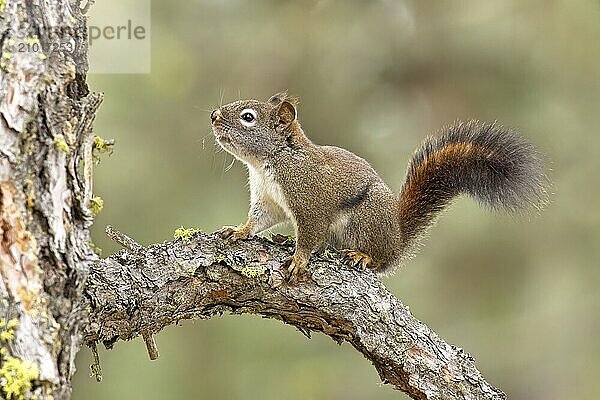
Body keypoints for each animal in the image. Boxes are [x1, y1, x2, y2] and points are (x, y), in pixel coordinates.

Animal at [212, 92, 548, 282]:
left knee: (375, 260)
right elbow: (260, 219)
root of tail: (396, 243)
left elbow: (309, 233)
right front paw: (239, 230)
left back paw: (363, 257)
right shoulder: (268, 198)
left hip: (367, 219)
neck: (270, 162)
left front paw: (298, 260)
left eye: (248, 118)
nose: (214, 115)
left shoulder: (311, 202)